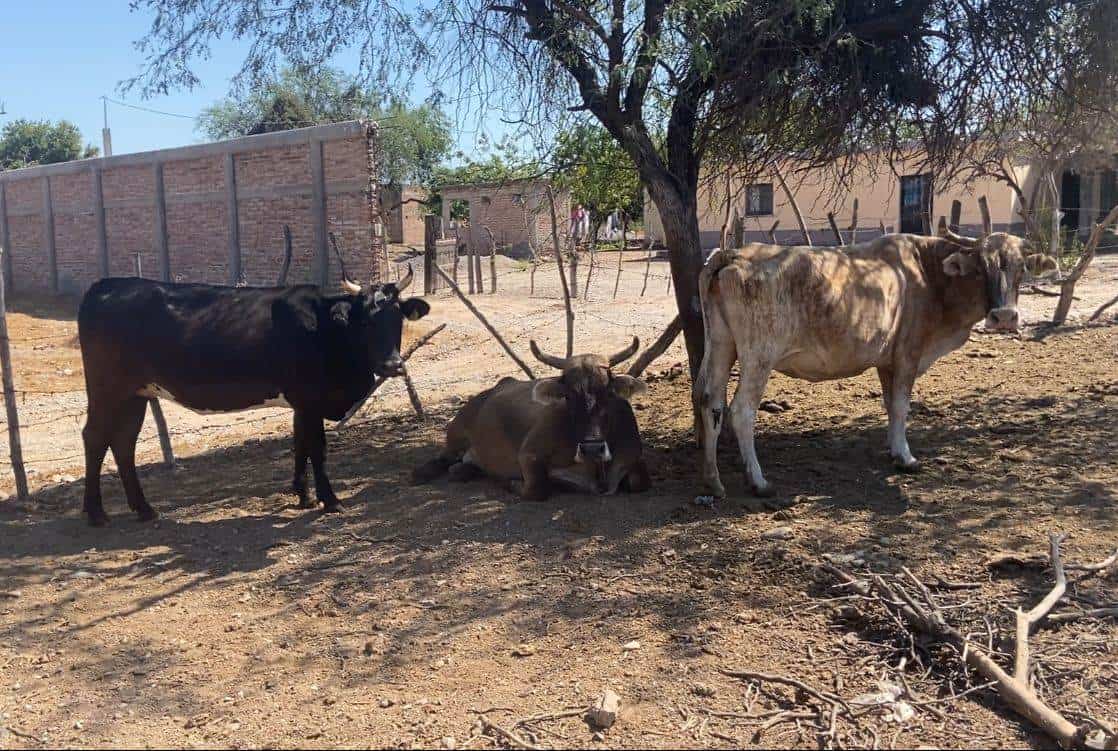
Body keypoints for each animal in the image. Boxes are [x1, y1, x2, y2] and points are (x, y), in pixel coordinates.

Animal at [77, 267, 427, 525]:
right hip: (107, 389)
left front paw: (304, 495)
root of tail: (108, 285)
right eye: (365, 321)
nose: (392, 364)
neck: (326, 329)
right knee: (95, 437)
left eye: (397, 318)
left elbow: (300, 443)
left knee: (123, 442)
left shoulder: (301, 403)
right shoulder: (309, 399)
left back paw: (144, 508)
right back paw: (96, 513)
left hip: (134, 394)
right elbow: (317, 448)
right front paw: (330, 500)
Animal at [415, 339, 652, 498]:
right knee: (442, 458)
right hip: (456, 433)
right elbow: (537, 488)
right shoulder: (529, 454)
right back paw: (421, 473)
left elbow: (640, 481)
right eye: (568, 396)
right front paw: (511, 483)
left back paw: (464, 469)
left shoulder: (634, 458)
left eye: (608, 393)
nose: (592, 449)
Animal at [693, 229, 1041, 498]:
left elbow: (890, 405)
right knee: (741, 411)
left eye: (1021, 269)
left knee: (710, 400)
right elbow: (901, 405)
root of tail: (733, 253)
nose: (1005, 317)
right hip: (759, 356)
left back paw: (713, 480)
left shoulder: (887, 361)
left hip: (722, 346)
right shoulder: (908, 354)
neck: (928, 274)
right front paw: (906, 457)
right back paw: (758, 481)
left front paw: (894, 449)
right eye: (981, 268)